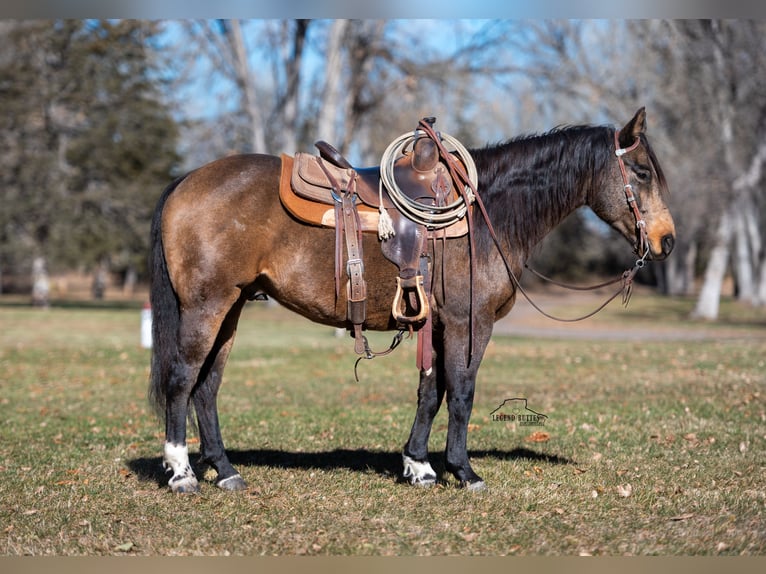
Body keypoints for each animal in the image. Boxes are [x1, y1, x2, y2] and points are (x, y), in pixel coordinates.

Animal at [150, 108, 680, 496]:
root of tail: (185, 182)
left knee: (207, 386)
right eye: (641, 171)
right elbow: (462, 393)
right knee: (182, 378)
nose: (667, 240)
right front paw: (464, 471)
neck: (487, 212)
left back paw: (225, 470)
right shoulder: (471, 323)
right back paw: (182, 472)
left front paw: (419, 465)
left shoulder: (439, 325)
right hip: (207, 305)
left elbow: (432, 391)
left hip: (233, 306)